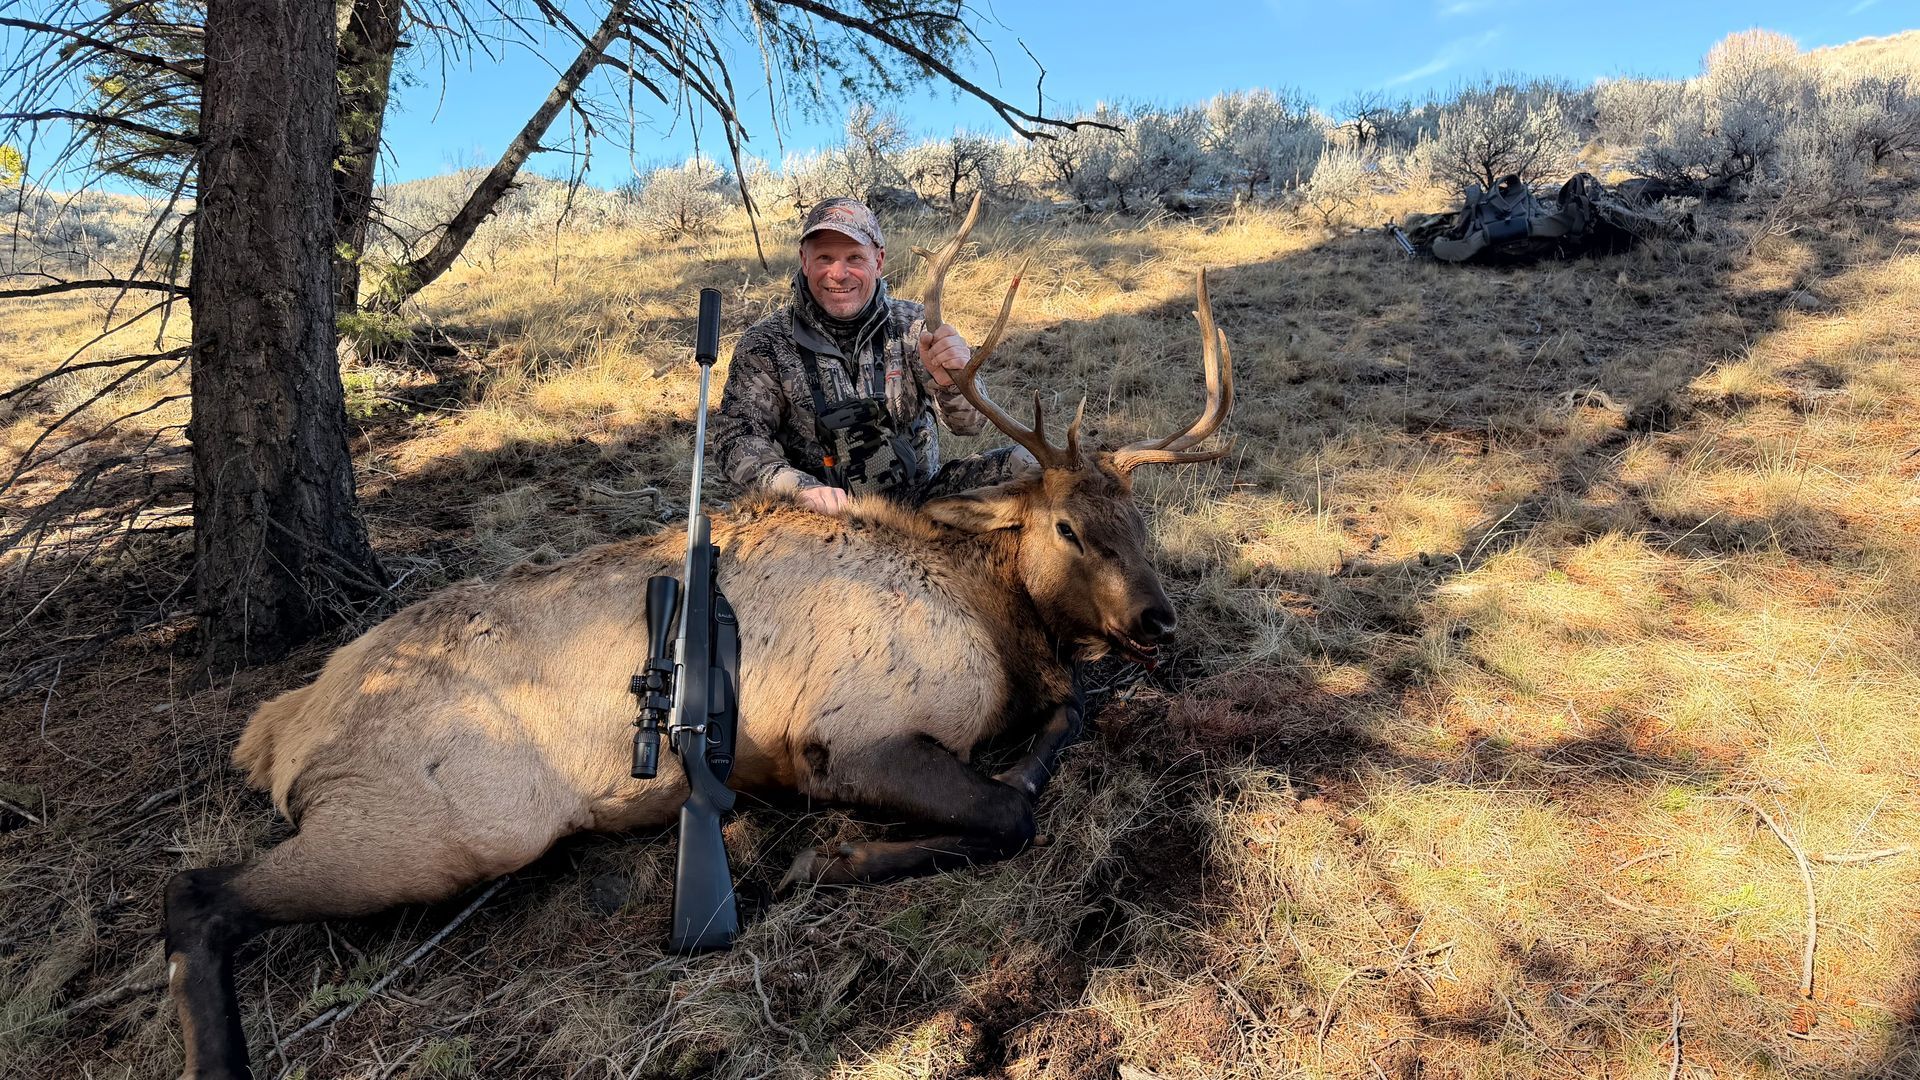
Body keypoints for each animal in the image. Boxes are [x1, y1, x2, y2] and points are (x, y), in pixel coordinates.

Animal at [161, 208, 1235, 1079]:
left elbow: (1059, 728)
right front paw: (830, 858)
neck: (989, 615)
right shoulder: (851, 734)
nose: (1158, 620)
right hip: (442, 820)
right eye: (1067, 528)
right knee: (198, 897)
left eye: (1141, 519)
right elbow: (1011, 808)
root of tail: (278, 728)